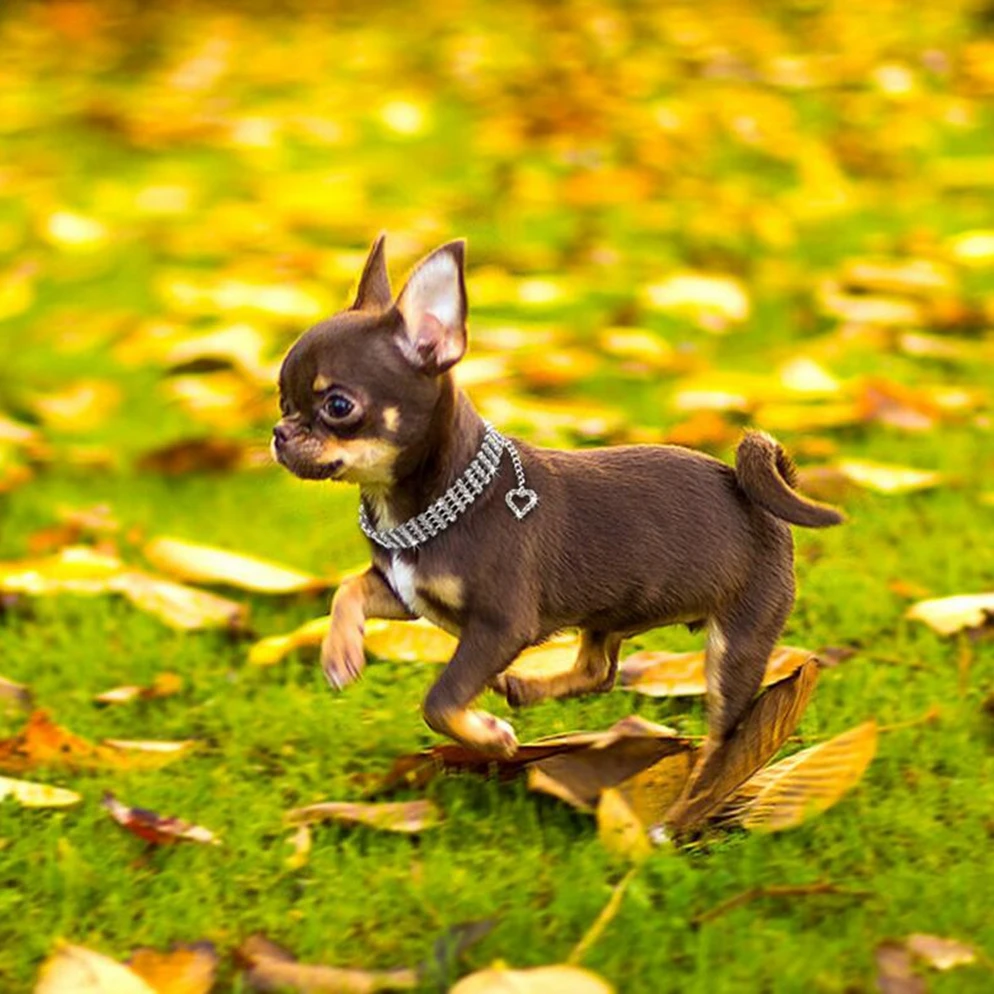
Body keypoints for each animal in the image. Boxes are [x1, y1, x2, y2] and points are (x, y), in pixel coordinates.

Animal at [276, 234, 840, 760]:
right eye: (282, 400)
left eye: (338, 406)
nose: (280, 433)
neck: (425, 506)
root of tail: (753, 494)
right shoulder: (405, 594)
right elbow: (347, 588)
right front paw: (340, 653)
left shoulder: (501, 627)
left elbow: (439, 700)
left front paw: (489, 738)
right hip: (612, 613)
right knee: (599, 670)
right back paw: (528, 687)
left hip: (739, 640)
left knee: (724, 735)